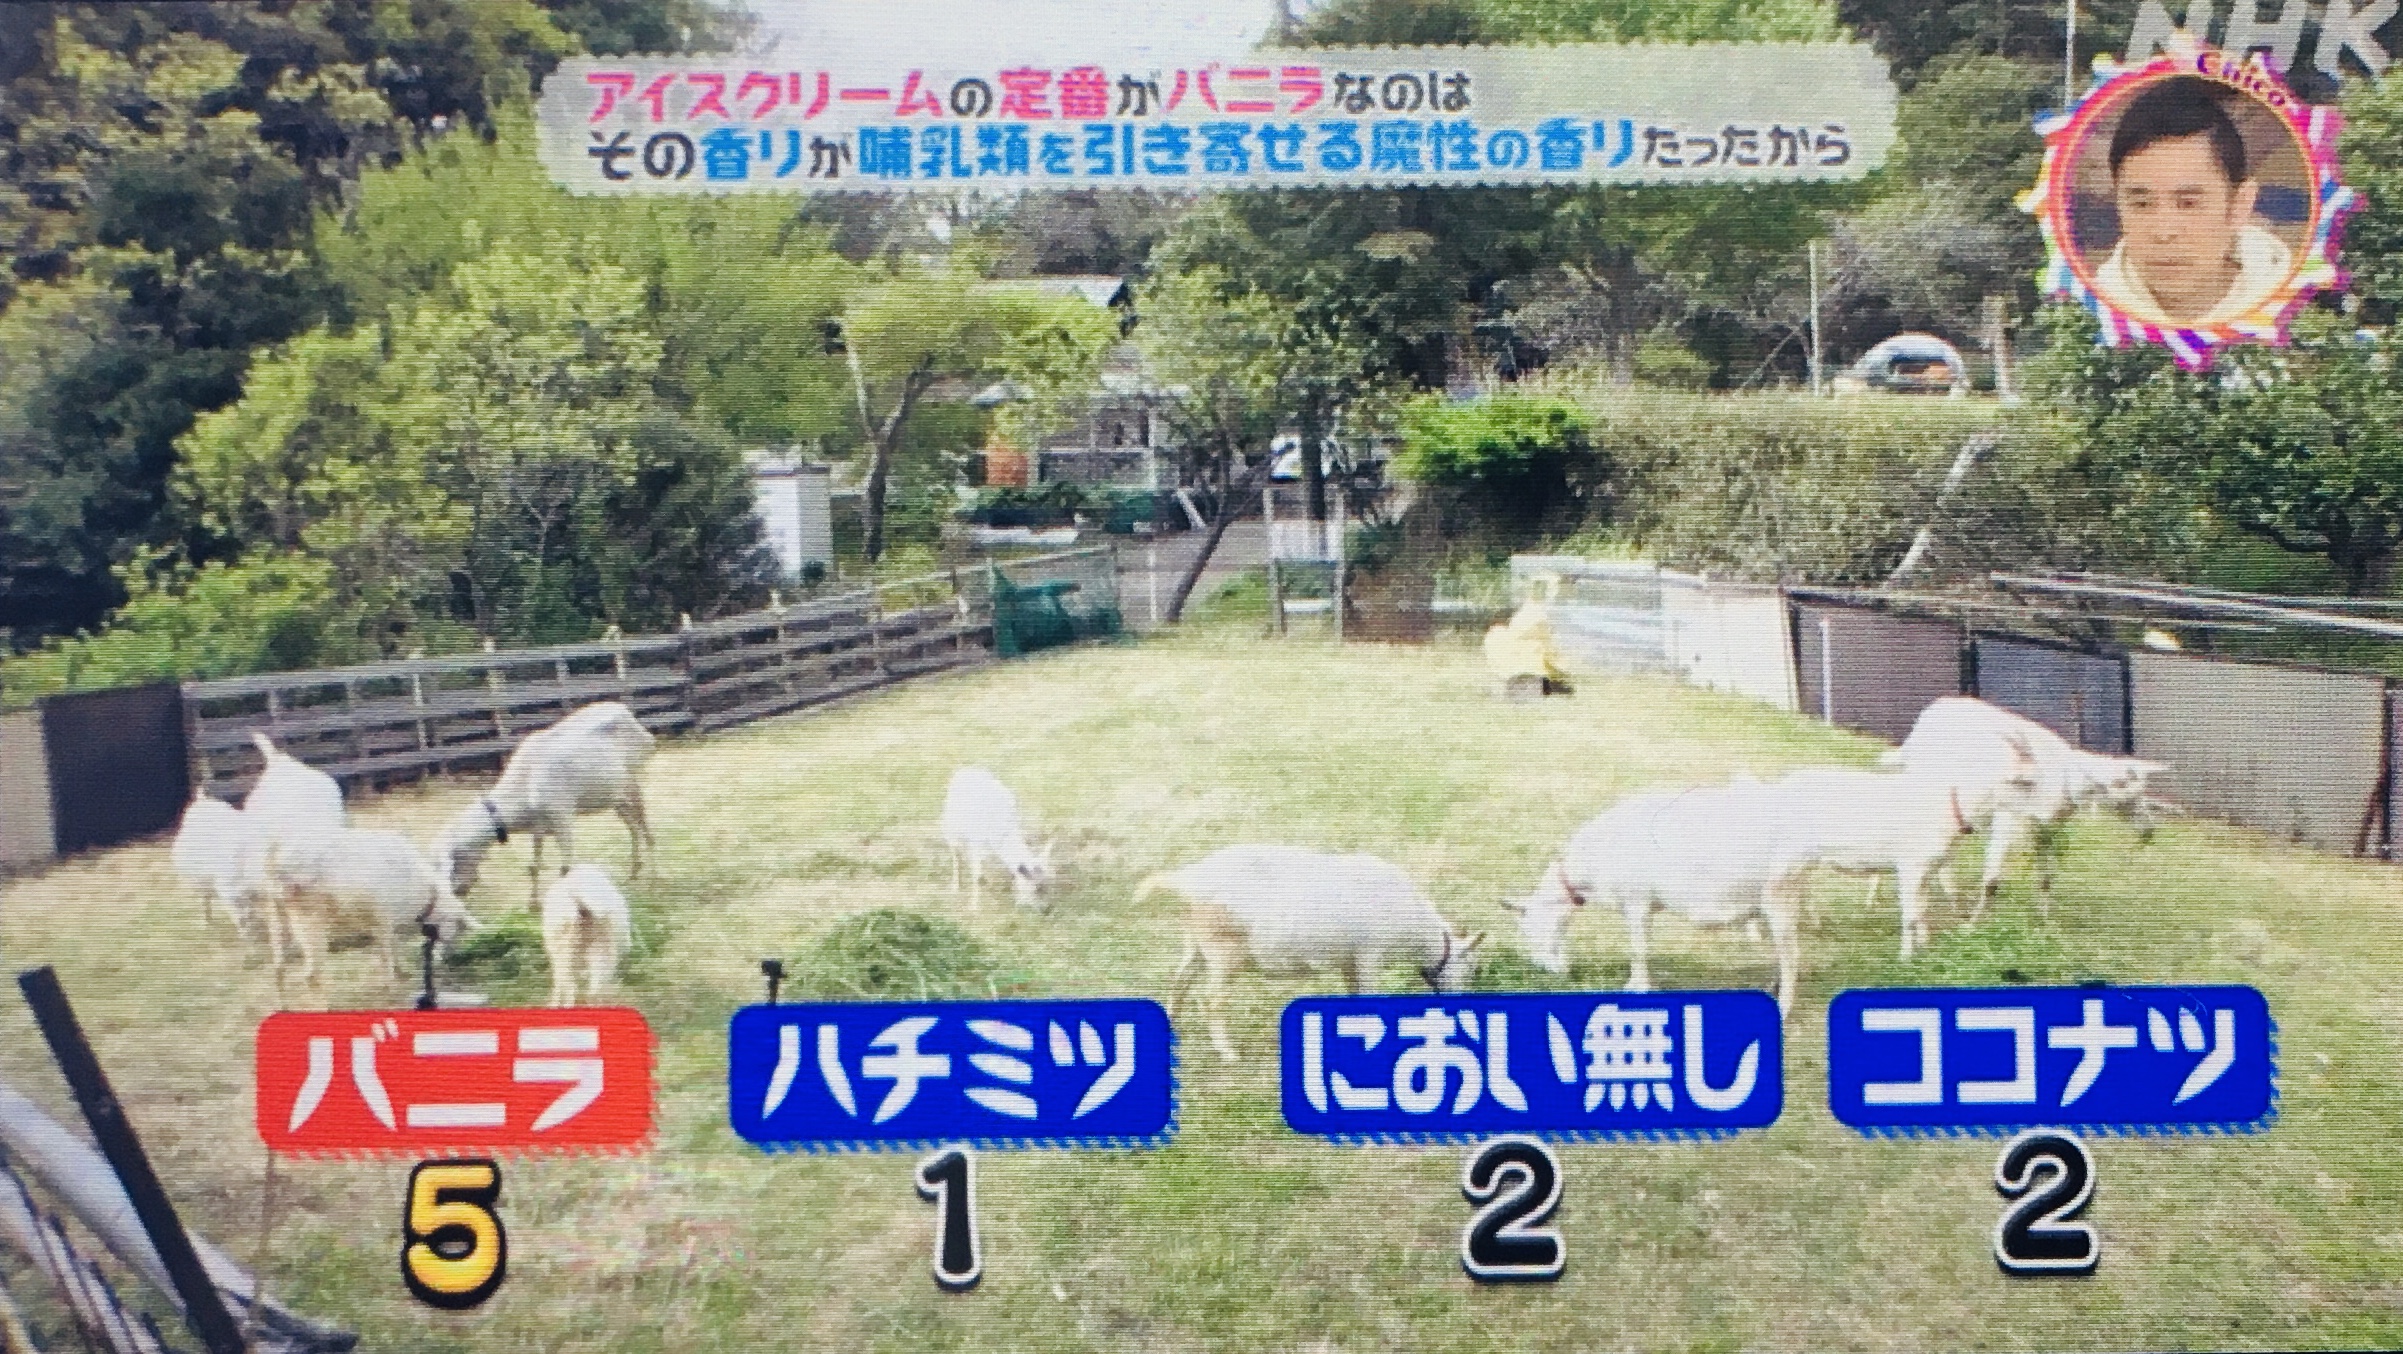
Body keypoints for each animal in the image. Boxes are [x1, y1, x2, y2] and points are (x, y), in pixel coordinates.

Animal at [1147, 844, 1484, 1062]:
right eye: (1473, 968)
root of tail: (1190, 879)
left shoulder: (1349, 959)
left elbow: (1353, 993)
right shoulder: (1369, 954)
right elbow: (1368, 993)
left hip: (1196, 944)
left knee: (1179, 980)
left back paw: (1172, 1027)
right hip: (1224, 953)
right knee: (1211, 1000)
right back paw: (1228, 1052)